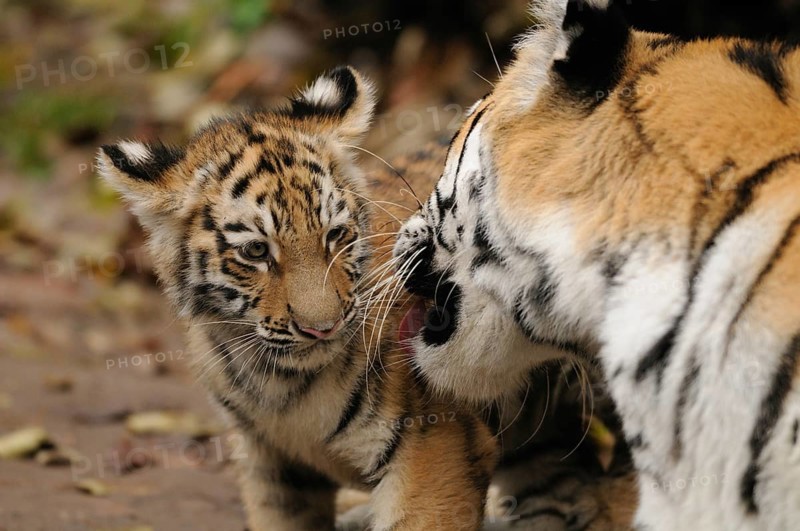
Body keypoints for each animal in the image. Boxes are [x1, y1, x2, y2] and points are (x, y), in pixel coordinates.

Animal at [97, 66, 498, 531]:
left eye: (336, 235)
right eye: (256, 251)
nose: (322, 327)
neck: (282, 387)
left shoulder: (436, 449)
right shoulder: (273, 465)